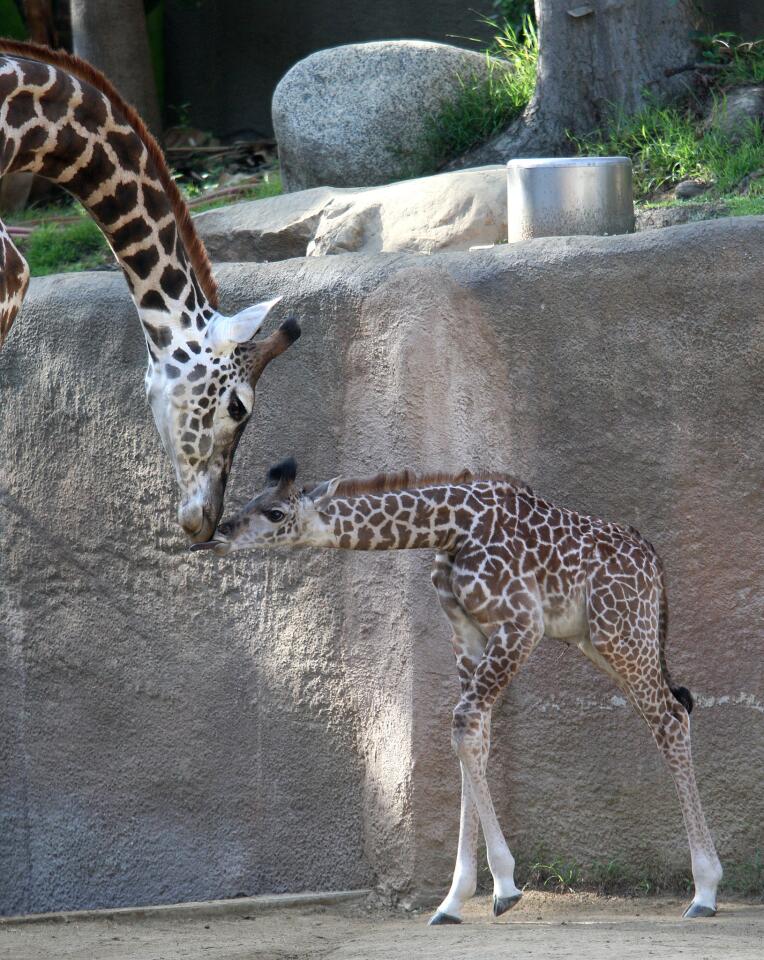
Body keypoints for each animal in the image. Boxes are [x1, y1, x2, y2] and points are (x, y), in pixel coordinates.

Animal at [194, 458, 724, 924]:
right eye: (252, 499)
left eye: (275, 512)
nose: (219, 534)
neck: (451, 527)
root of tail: (655, 563)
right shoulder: (468, 634)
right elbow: (475, 739)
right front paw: (455, 900)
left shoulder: (521, 625)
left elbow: (463, 725)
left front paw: (505, 887)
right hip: (598, 641)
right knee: (675, 710)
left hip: (622, 633)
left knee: (669, 720)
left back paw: (705, 891)